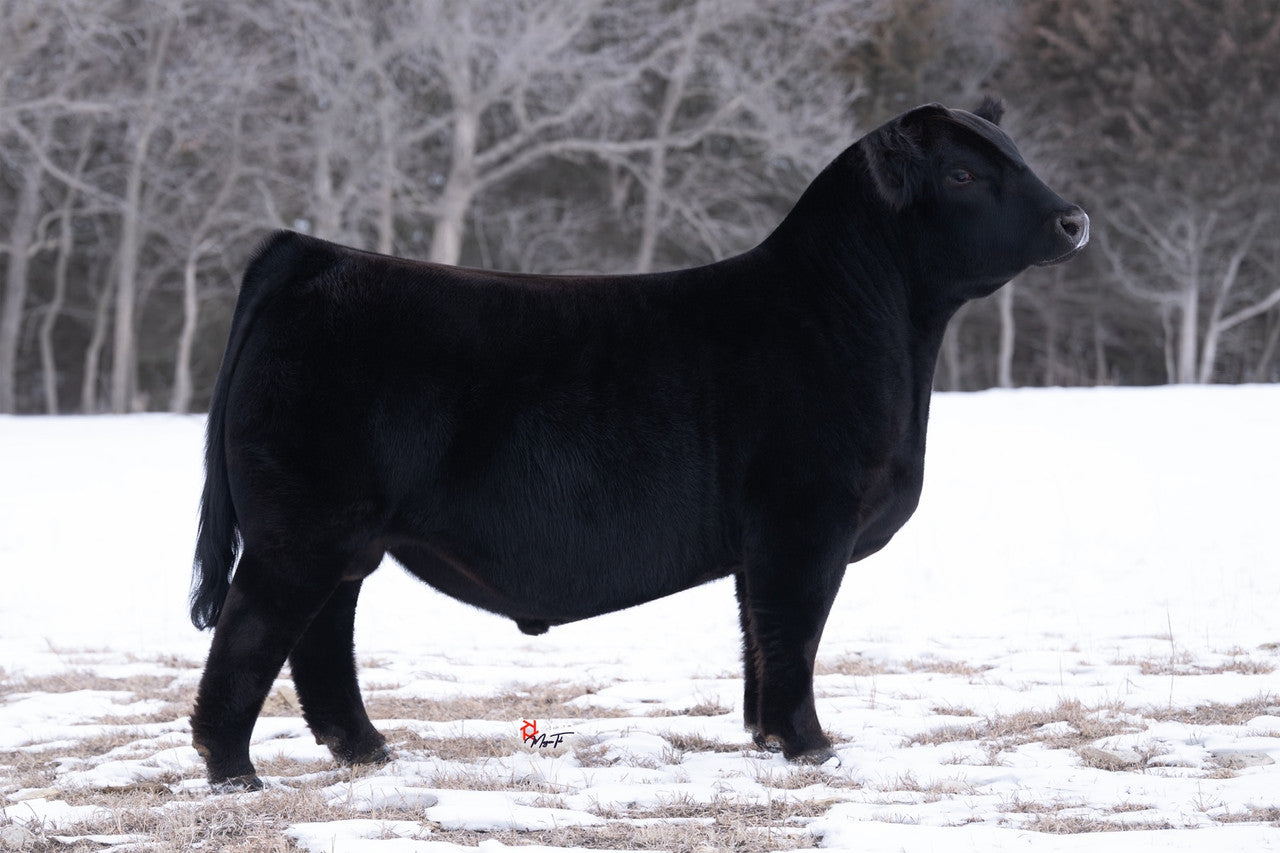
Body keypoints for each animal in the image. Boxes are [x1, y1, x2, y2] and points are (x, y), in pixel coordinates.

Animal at [189, 100, 1088, 789]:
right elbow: (795, 634)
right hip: (299, 530)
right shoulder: (805, 520)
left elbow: (759, 637)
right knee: (253, 633)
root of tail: (313, 255)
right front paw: (812, 746)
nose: (1074, 218)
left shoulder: (762, 543)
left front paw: (767, 738)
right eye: (964, 174)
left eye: (1015, 154)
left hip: (344, 536)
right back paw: (235, 771)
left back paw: (369, 752)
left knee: (321, 639)